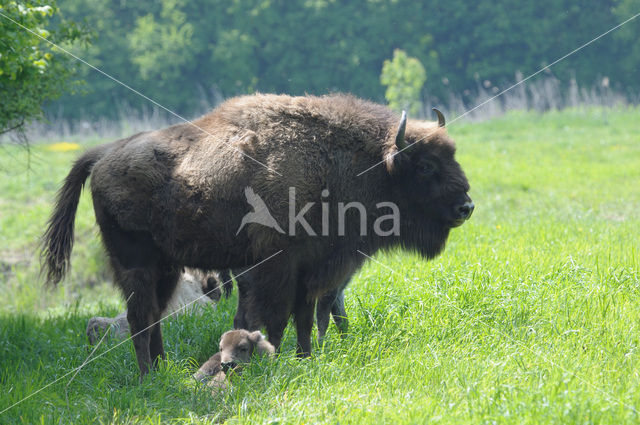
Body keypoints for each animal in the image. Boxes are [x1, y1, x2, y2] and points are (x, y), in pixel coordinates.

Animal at [40, 93, 470, 378]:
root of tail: (103, 153)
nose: (466, 206)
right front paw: (275, 360)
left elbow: (303, 317)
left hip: (166, 267)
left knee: (153, 316)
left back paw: (163, 372)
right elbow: (274, 317)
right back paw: (148, 375)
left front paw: (305, 358)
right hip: (136, 263)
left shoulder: (311, 268)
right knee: (139, 316)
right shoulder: (276, 267)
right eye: (426, 165)